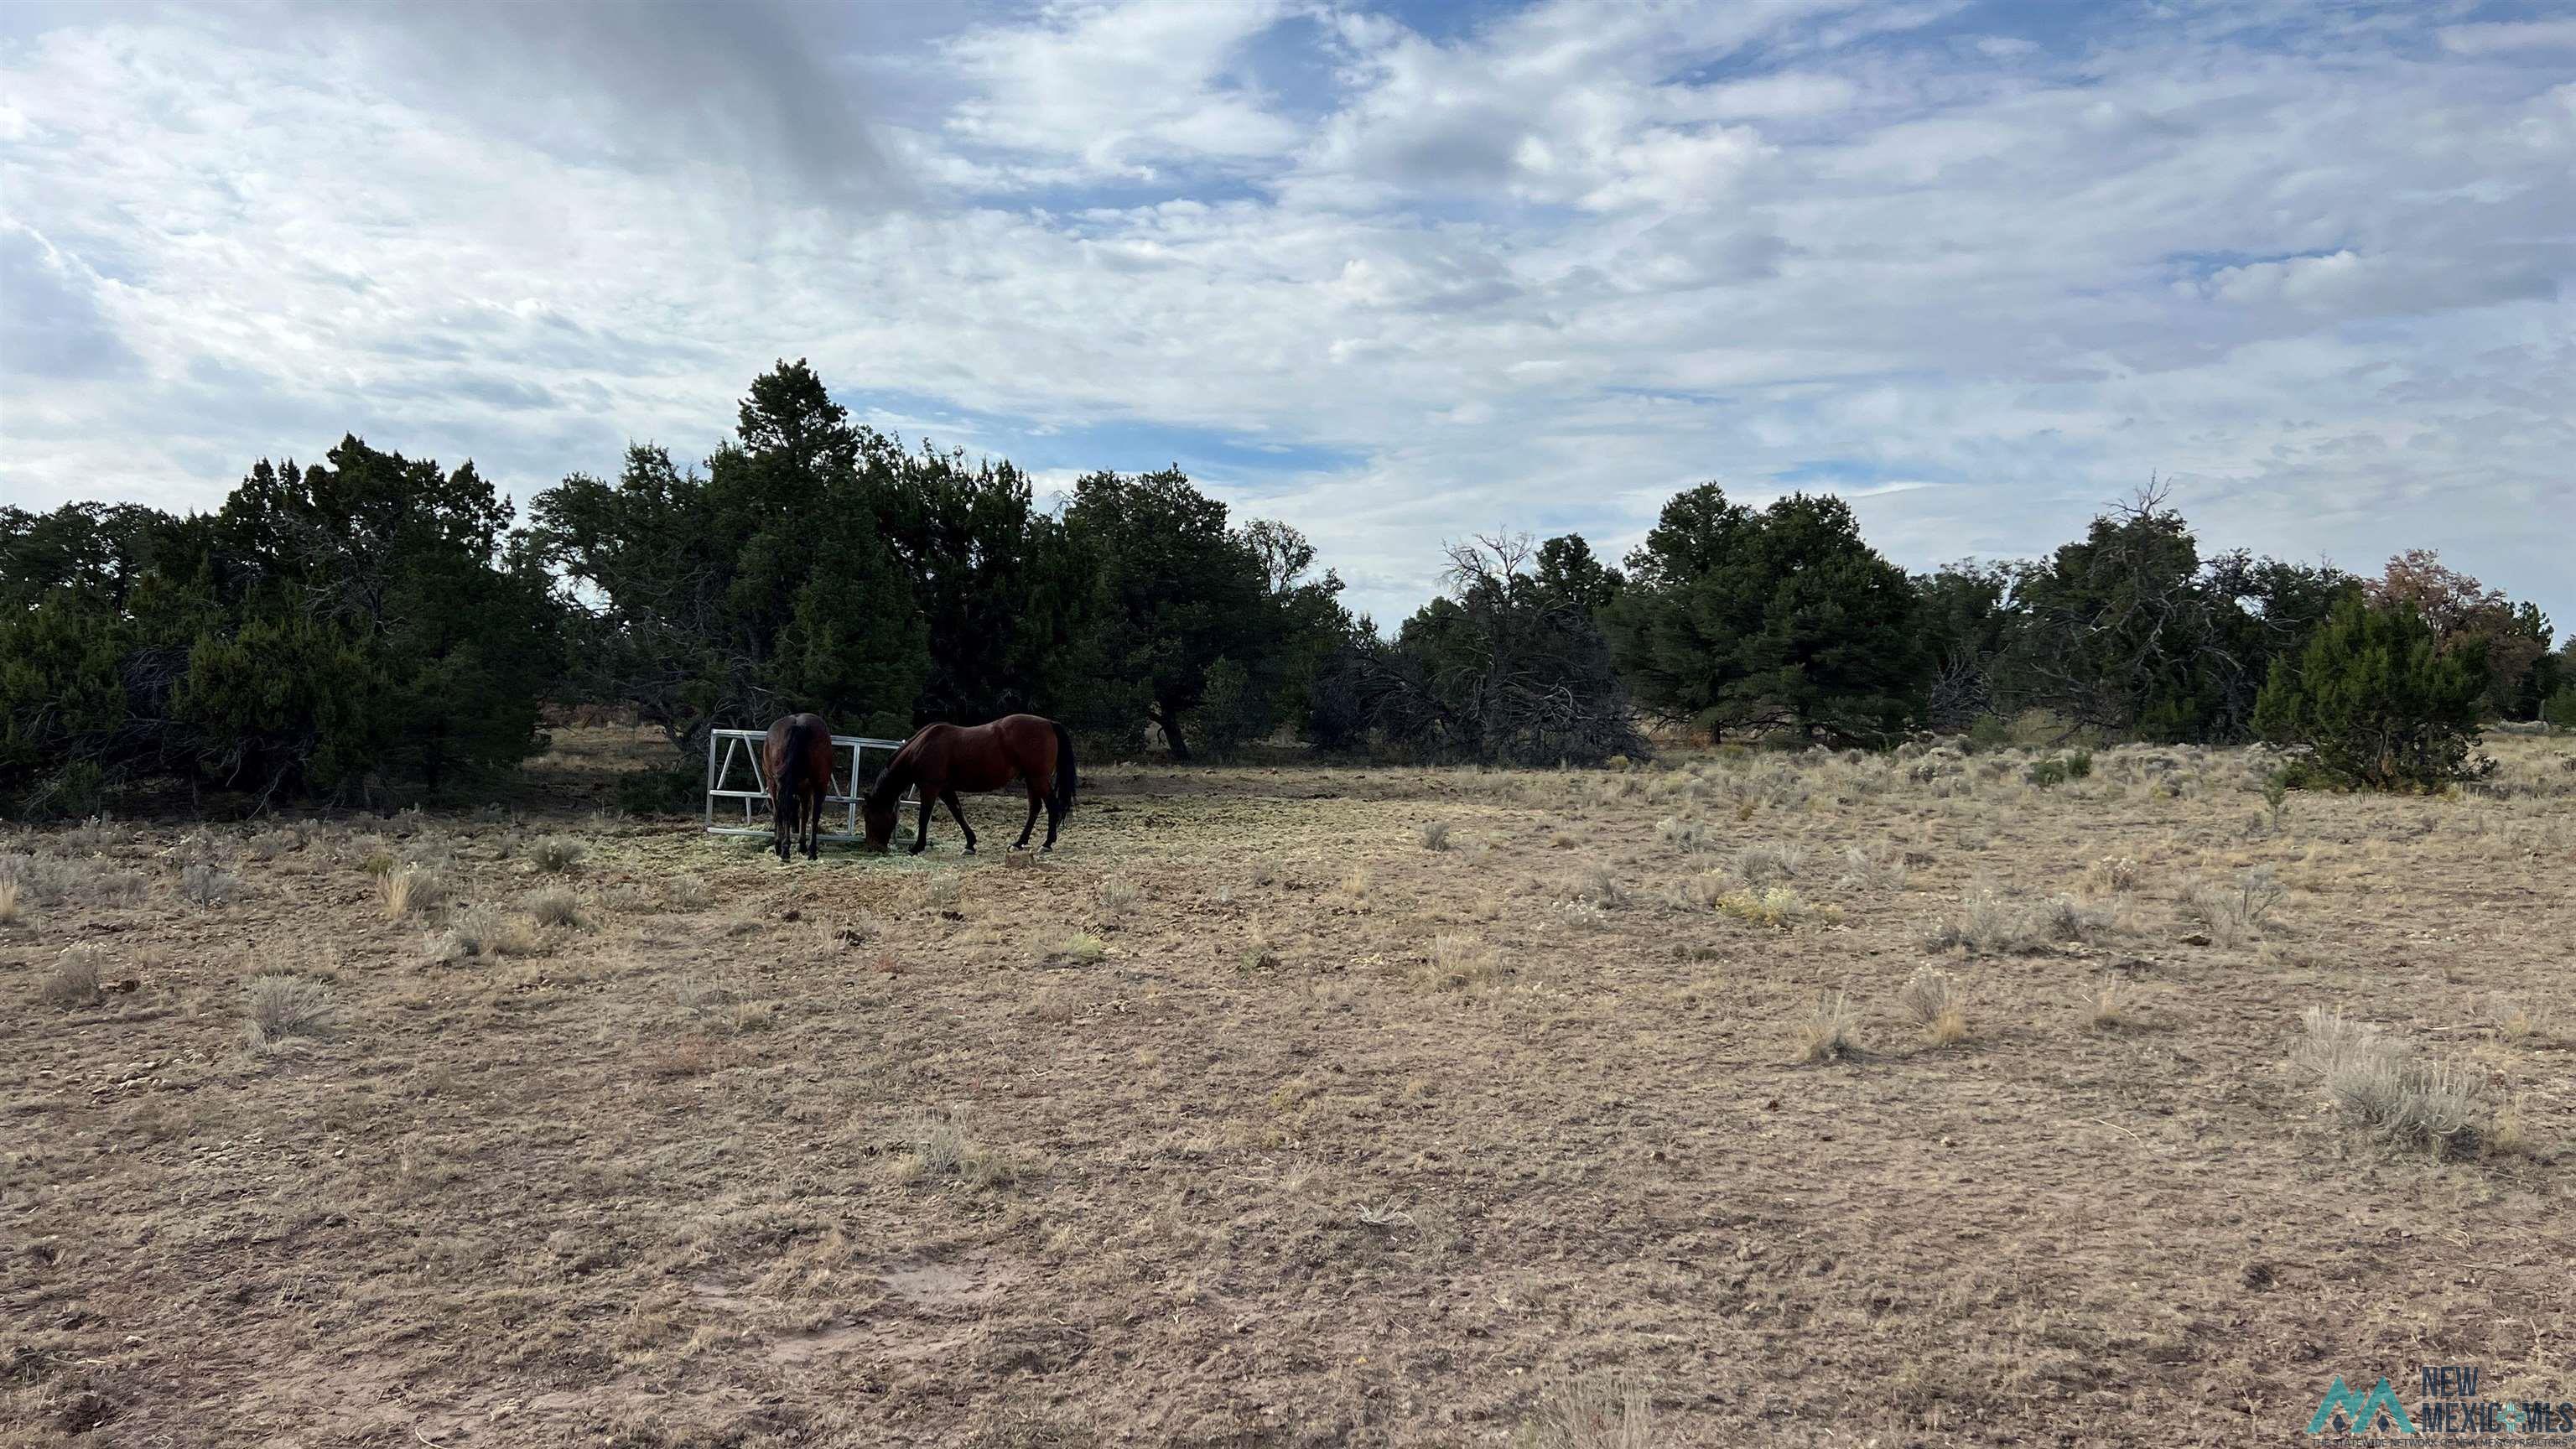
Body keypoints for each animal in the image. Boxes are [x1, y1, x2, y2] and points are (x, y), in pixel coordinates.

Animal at [762, 711, 834, 855]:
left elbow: (783, 812)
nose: (795, 828)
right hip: (820, 784)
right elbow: (805, 815)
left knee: (782, 811)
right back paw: (811, 850)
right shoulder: (805, 790)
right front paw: (801, 845)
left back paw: (783, 848)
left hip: (777, 784)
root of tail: (797, 725)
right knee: (815, 815)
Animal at [860, 711, 1071, 850]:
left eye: (869, 816)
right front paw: (970, 843)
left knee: (1051, 806)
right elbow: (957, 812)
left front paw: (917, 847)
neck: (921, 747)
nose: (873, 847)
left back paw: (1047, 843)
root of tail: (1048, 723)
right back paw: (1019, 843)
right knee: (1035, 808)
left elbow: (924, 816)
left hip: (1038, 779)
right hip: (1031, 780)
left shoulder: (930, 788)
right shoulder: (945, 789)